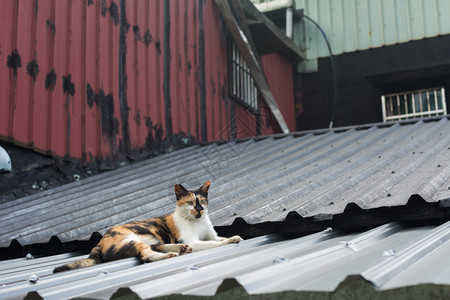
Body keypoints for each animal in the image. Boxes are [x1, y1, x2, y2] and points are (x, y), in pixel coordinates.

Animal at [52, 179, 243, 274]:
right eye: (190, 202)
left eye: (202, 201)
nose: (200, 210)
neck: (198, 222)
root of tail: (99, 242)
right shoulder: (195, 241)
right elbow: (214, 243)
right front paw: (231, 240)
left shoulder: (212, 235)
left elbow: (217, 238)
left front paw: (231, 237)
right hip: (131, 240)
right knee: (146, 255)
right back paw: (172, 253)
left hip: (150, 239)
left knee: (156, 246)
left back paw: (180, 249)